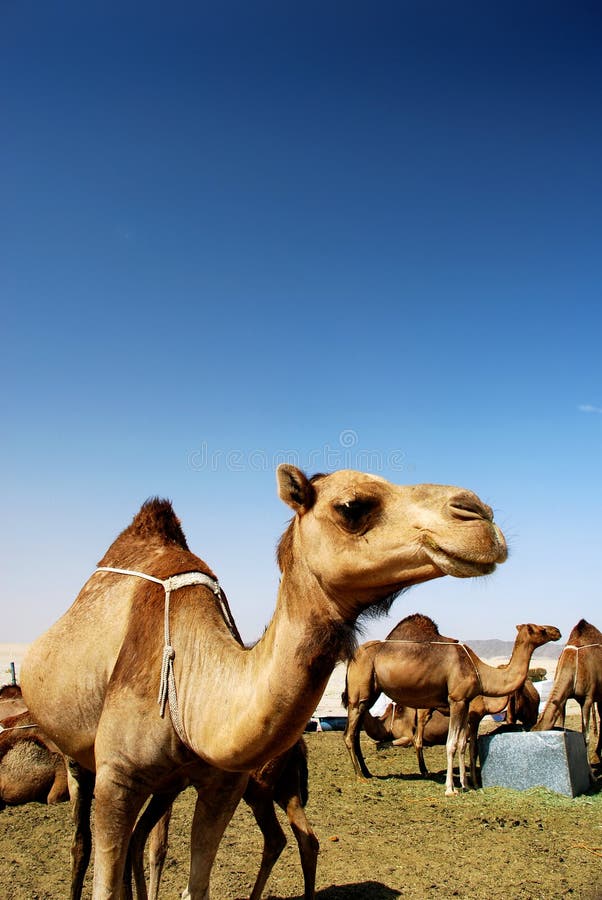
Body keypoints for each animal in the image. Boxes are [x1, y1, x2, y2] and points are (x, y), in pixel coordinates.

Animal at [19, 468, 506, 896]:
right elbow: (107, 880)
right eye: (352, 506)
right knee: (84, 846)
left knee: (147, 843)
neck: (192, 689)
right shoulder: (117, 778)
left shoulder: (223, 784)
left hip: (167, 783)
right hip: (75, 756)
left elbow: (197, 884)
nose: (479, 515)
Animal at [342, 612, 556, 796]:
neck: (479, 671)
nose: (556, 630)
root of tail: (352, 658)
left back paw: (368, 772)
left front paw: (466, 784)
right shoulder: (457, 700)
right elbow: (452, 743)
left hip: (372, 694)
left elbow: (462, 743)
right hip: (359, 692)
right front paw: (451, 789)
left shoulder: (466, 704)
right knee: (349, 734)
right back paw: (360, 776)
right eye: (539, 629)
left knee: (356, 733)